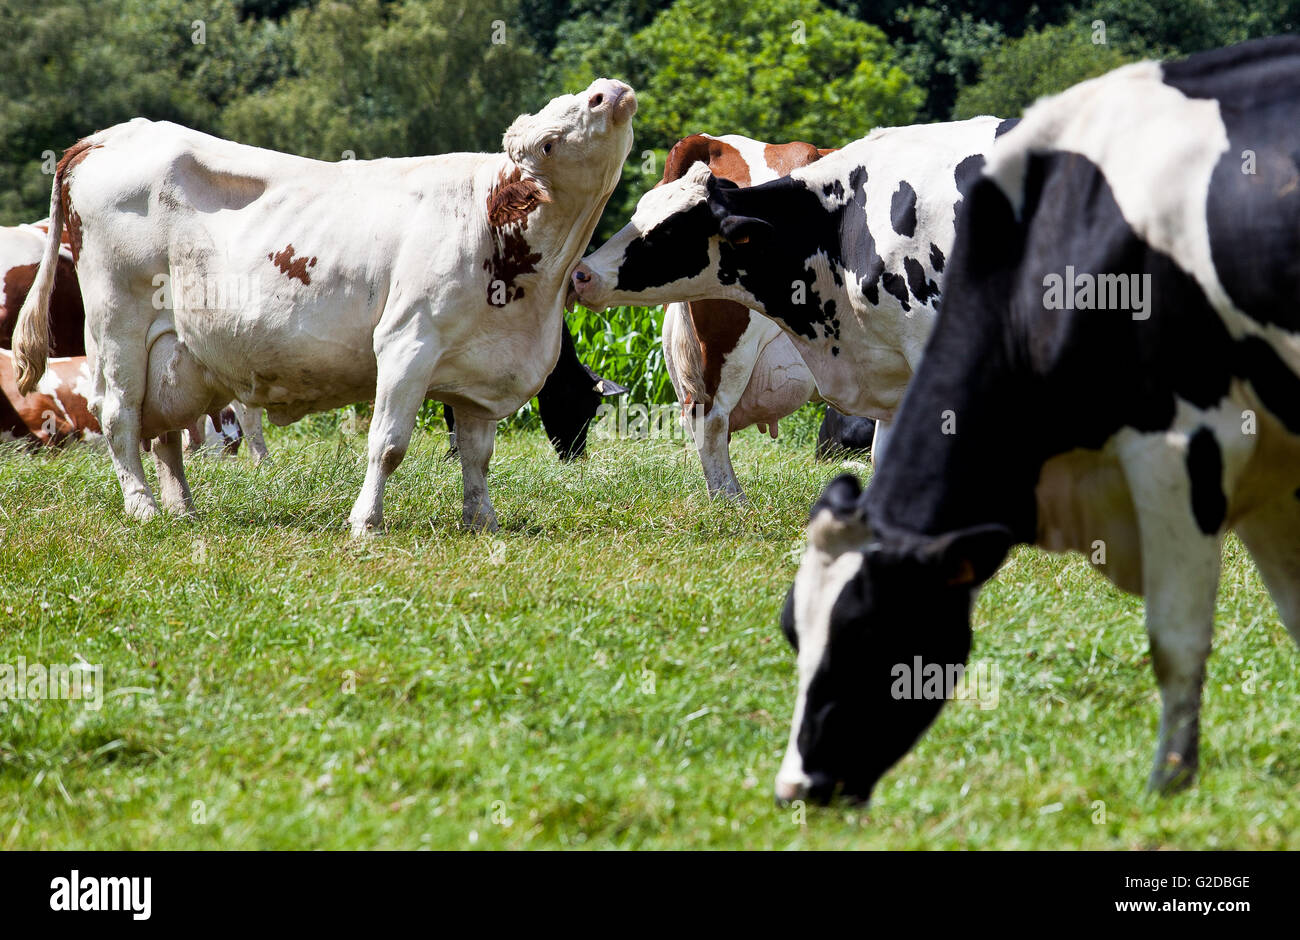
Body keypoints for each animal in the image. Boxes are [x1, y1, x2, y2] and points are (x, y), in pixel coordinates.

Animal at [775, 36, 1300, 805]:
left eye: (866, 628)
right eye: (792, 627)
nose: (799, 785)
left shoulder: (1186, 447)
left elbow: (1176, 637)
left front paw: (1168, 783)